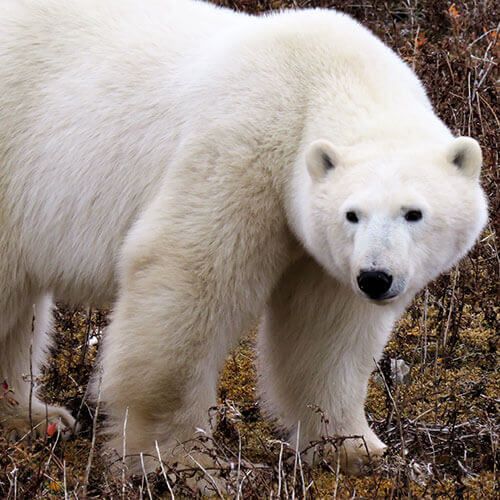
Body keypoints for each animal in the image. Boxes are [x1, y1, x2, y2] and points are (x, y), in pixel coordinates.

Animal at [0, 0, 486, 476]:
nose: (375, 278)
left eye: (414, 213)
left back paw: (34, 417)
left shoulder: (322, 253)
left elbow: (326, 331)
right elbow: (188, 282)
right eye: (352, 214)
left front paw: (355, 449)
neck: (320, 79)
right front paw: (179, 461)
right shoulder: (241, 152)